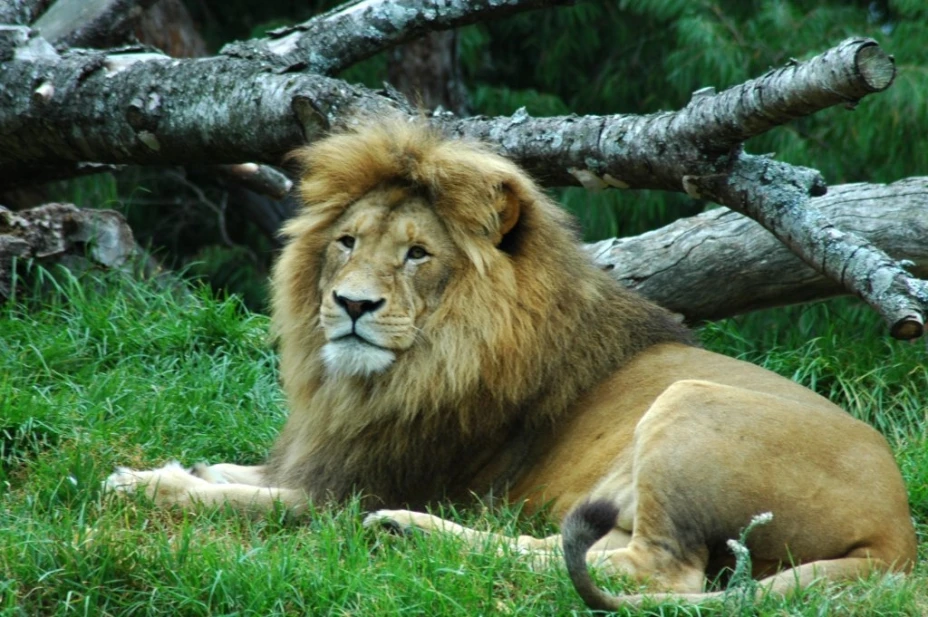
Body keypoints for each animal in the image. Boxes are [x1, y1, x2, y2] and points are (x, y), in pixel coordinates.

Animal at [106, 120, 916, 610]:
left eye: (417, 253)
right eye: (346, 241)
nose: (351, 304)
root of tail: (896, 533)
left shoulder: (352, 487)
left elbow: (247, 501)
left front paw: (145, 483)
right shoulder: (330, 459)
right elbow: (243, 474)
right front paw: (198, 467)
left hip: (688, 404)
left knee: (658, 571)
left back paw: (410, 529)